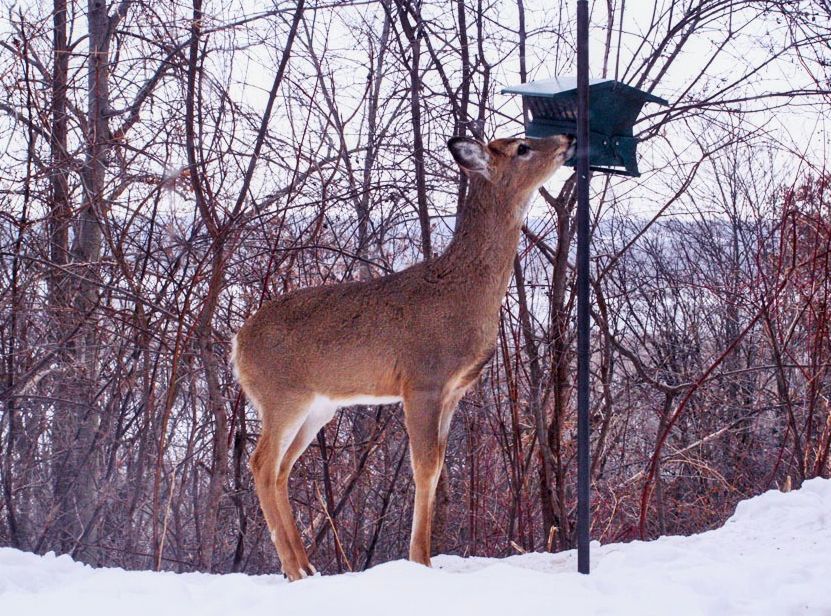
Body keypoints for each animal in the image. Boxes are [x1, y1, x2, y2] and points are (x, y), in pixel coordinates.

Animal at [231, 133, 575, 581]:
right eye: (521, 147)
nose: (568, 138)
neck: (463, 293)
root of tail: (237, 344)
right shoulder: (422, 381)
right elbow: (424, 467)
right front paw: (420, 560)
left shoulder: (453, 391)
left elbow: (439, 467)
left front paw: (424, 557)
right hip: (281, 396)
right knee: (261, 463)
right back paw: (292, 567)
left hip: (317, 407)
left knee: (281, 469)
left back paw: (307, 566)